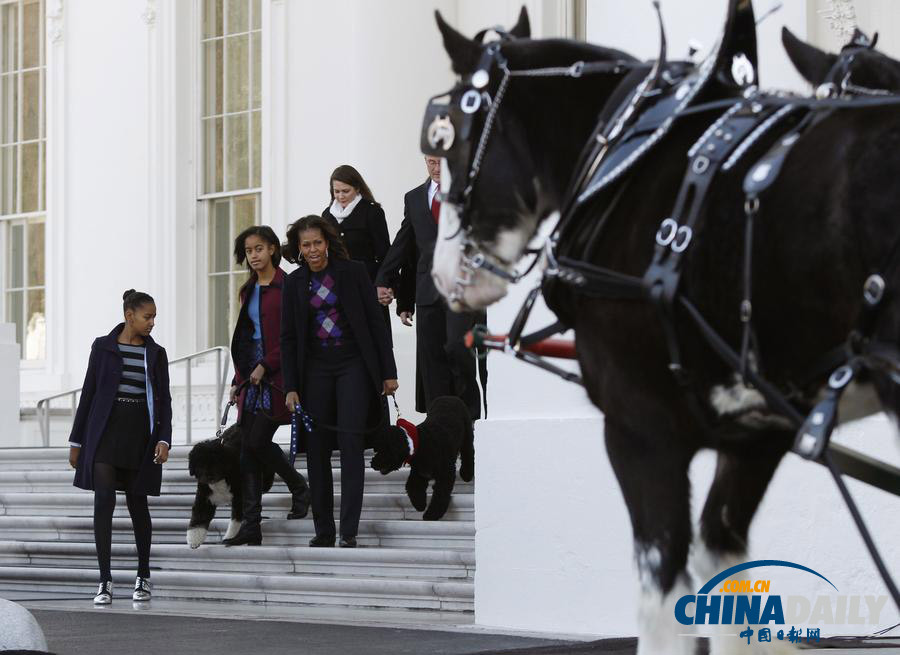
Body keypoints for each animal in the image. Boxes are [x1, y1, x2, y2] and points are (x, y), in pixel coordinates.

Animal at [426, 5, 900, 655]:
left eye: (450, 135)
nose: (443, 276)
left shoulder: (641, 429)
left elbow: (663, 598)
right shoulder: (755, 432)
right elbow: (726, 571)